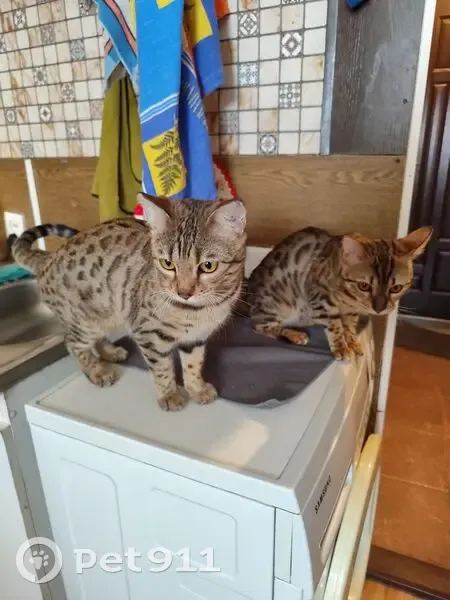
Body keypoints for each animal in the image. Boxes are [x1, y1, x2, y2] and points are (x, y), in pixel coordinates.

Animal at [12, 193, 247, 411]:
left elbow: (193, 365)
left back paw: (110, 352)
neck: (201, 310)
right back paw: (97, 371)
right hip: (85, 322)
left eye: (208, 266)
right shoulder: (148, 334)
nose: (184, 293)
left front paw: (197, 389)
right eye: (167, 263)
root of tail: (47, 258)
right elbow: (162, 369)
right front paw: (169, 395)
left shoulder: (195, 338)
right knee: (72, 343)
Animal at [246, 226, 433, 360]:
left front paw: (353, 343)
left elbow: (349, 327)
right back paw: (295, 335)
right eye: (364, 286)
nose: (379, 309)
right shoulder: (320, 299)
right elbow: (335, 326)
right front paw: (341, 348)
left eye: (396, 288)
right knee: (259, 326)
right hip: (276, 306)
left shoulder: (351, 311)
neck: (350, 298)